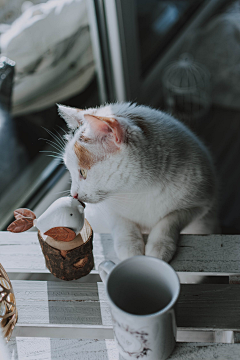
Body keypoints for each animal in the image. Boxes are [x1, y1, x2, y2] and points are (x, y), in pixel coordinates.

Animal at [58, 101, 219, 262]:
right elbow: (120, 221)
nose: (73, 194)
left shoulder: (199, 205)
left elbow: (170, 219)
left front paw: (160, 246)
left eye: (83, 172)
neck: (138, 190)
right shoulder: (106, 209)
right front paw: (130, 247)